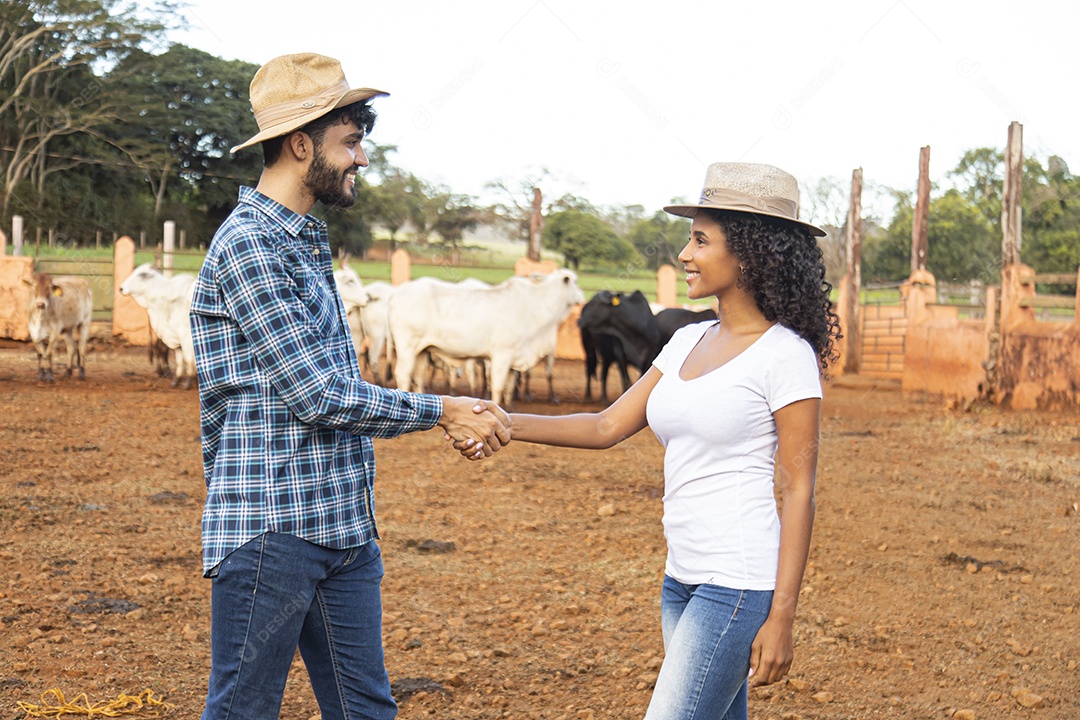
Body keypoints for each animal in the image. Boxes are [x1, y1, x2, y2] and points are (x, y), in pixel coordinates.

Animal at [390, 269, 583, 405]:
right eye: (572, 281)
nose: (581, 296)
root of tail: (397, 293)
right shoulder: (501, 355)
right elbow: (497, 387)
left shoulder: (513, 359)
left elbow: (508, 388)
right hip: (407, 346)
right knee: (403, 374)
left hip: (422, 350)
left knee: (418, 377)